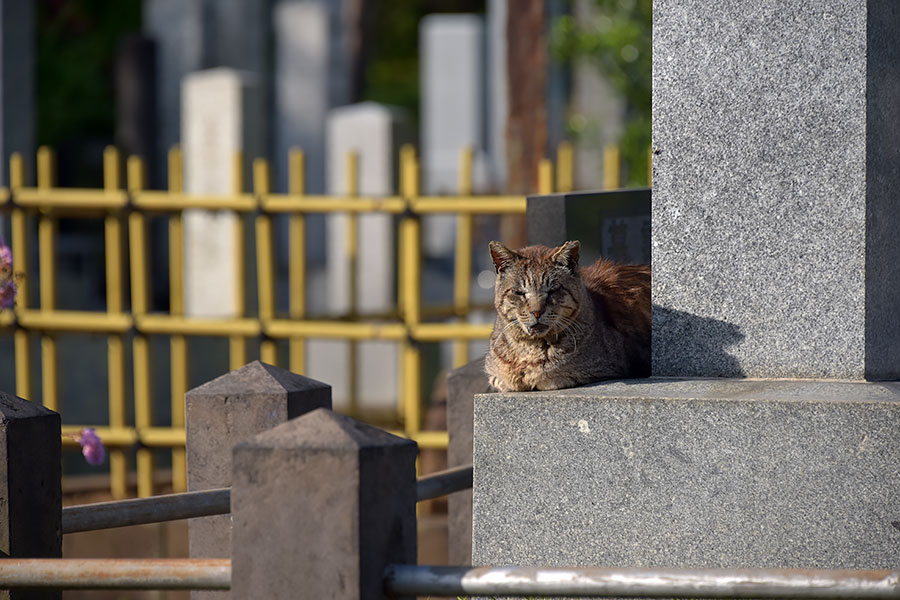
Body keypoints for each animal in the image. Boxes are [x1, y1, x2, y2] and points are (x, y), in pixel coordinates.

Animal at [488, 240, 652, 394]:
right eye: (519, 292)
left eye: (553, 290)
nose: (537, 312)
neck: (529, 348)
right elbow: (501, 378)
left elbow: (552, 374)